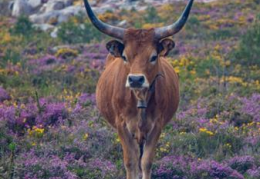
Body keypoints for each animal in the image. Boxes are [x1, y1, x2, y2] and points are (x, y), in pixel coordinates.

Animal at [82, 0, 194, 178]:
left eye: (153, 56)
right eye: (125, 56)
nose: (135, 79)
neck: (140, 98)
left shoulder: (157, 125)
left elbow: (146, 162)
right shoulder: (122, 125)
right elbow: (131, 161)